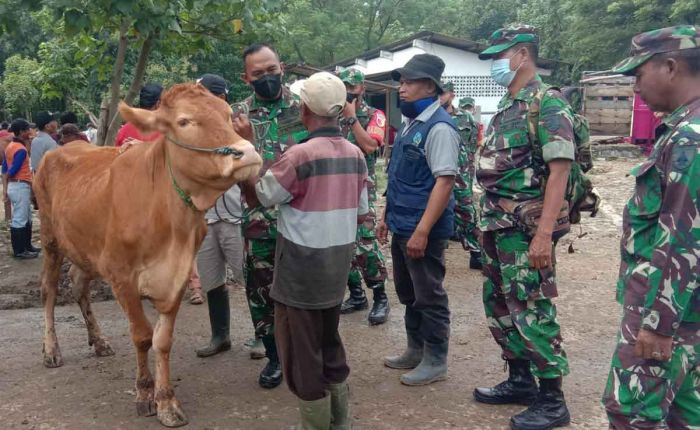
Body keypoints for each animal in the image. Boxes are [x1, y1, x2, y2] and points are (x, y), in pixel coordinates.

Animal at [34, 83, 262, 426]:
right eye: (184, 121)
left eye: (226, 115)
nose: (246, 153)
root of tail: (61, 149)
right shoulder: (121, 276)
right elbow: (142, 336)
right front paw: (144, 393)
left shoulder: (178, 275)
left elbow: (162, 340)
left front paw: (166, 399)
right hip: (50, 240)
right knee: (49, 292)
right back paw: (51, 350)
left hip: (86, 249)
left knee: (77, 284)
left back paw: (99, 341)